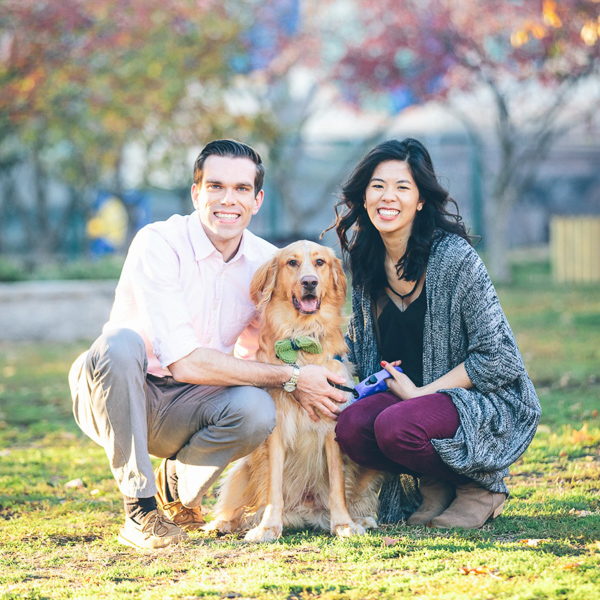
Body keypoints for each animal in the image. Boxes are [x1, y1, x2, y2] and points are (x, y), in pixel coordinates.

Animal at [206, 241, 382, 540]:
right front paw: (268, 526)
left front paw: (343, 523)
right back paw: (227, 523)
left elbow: (337, 485)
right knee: (242, 507)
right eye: (292, 263)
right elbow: (273, 488)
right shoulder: (276, 433)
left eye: (320, 262)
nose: (309, 282)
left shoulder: (332, 428)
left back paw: (360, 519)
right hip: (244, 468)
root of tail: (304, 512)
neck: (302, 338)